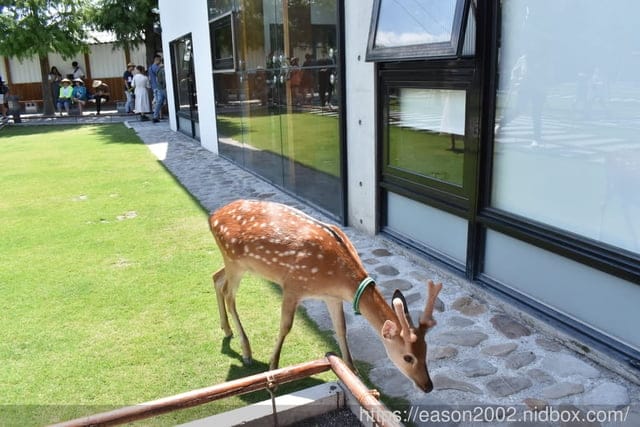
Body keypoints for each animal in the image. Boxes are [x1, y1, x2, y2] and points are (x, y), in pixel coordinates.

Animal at [209, 199, 443, 392]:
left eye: (426, 350)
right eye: (408, 357)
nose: (428, 386)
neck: (336, 278)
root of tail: (212, 217)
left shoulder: (332, 298)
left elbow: (341, 329)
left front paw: (356, 377)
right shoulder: (293, 285)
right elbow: (285, 326)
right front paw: (273, 371)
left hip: (237, 264)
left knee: (216, 278)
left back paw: (227, 329)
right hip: (235, 261)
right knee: (229, 294)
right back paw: (246, 352)